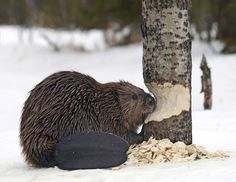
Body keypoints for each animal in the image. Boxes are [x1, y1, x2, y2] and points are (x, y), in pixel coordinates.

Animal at [18, 70, 155, 167]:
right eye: (134, 96)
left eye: (142, 89)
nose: (151, 100)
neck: (108, 103)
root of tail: (57, 150)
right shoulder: (107, 118)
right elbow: (124, 135)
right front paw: (142, 132)